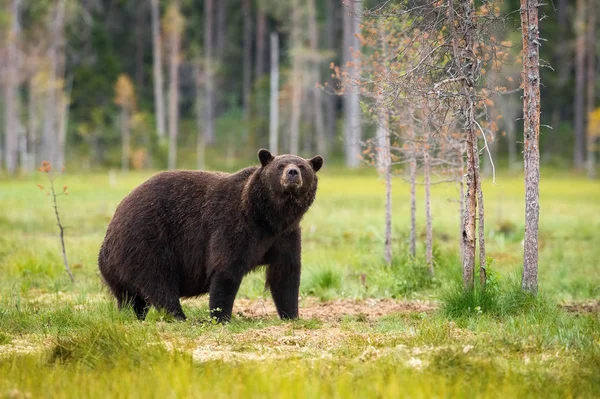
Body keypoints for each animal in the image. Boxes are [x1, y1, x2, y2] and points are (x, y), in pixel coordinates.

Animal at [98, 148, 324, 324]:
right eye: (280, 165)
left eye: (302, 166)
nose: (292, 173)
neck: (267, 217)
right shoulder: (234, 225)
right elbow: (226, 269)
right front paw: (221, 316)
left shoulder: (285, 236)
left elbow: (285, 273)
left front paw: (292, 315)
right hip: (146, 238)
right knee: (159, 281)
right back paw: (179, 316)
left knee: (131, 298)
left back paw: (131, 315)